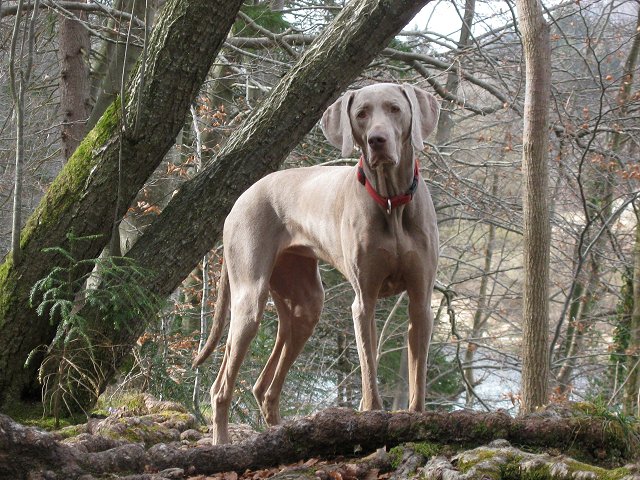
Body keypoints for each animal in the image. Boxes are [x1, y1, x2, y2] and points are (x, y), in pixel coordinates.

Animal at [191, 83, 440, 446]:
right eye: (361, 113)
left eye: (395, 108)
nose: (377, 141)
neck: (391, 202)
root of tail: (241, 197)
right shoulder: (363, 303)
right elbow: (368, 370)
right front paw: (372, 417)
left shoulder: (421, 301)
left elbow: (417, 374)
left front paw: (417, 421)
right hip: (249, 300)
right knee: (221, 386)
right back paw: (222, 443)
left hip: (304, 304)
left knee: (264, 387)